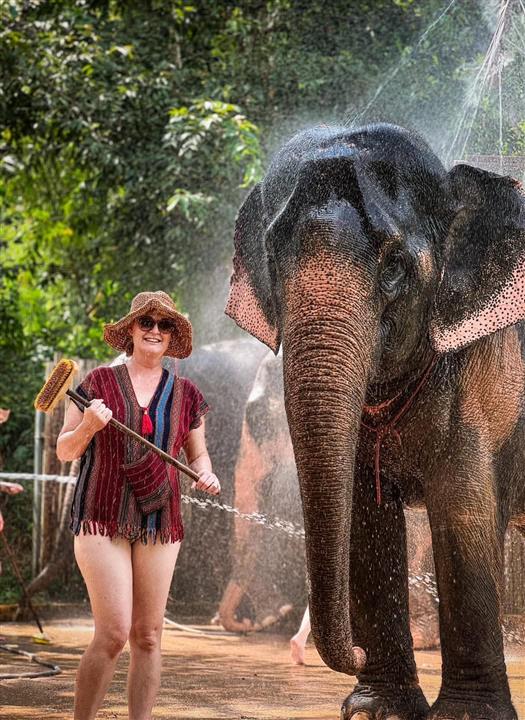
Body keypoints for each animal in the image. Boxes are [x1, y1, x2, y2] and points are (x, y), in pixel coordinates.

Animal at [225, 123, 525, 720]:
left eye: (392, 269)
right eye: (273, 261)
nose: (355, 652)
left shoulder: (490, 366)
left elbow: (466, 509)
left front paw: (465, 717)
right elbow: (364, 517)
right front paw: (375, 711)